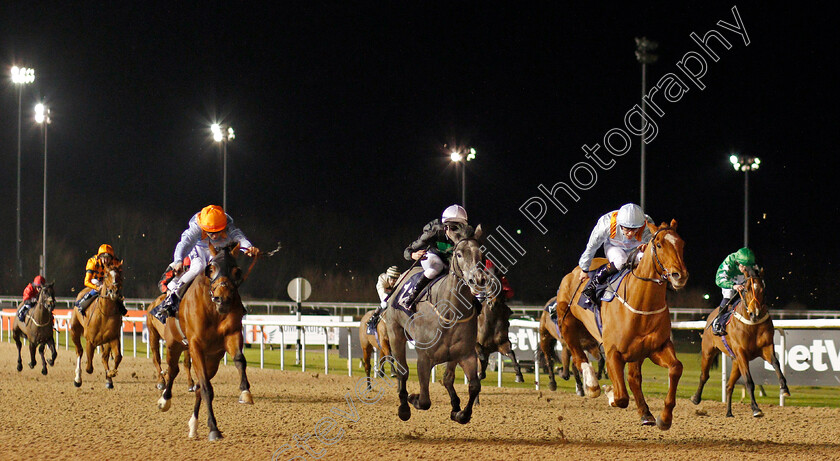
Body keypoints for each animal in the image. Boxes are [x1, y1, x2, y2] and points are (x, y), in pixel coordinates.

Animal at [155, 241, 253, 438]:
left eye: (236, 271)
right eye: (211, 269)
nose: (222, 298)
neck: (213, 310)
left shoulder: (231, 335)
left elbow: (239, 359)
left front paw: (245, 392)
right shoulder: (195, 346)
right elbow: (207, 388)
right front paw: (214, 429)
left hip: (212, 360)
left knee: (198, 385)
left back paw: (193, 425)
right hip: (173, 345)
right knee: (173, 370)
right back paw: (165, 400)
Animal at [382, 228, 486, 422]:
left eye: (481, 254)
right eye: (459, 254)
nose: (478, 279)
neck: (450, 312)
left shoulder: (466, 354)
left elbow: (473, 385)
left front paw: (461, 413)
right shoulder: (424, 358)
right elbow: (424, 400)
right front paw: (412, 398)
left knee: (448, 378)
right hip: (395, 332)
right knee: (403, 371)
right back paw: (404, 406)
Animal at [556, 219, 684, 428]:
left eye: (682, 244)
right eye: (659, 245)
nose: (679, 275)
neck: (640, 304)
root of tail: (574, 272)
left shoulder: (656, 347)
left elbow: (675, 368)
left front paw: (664, 418)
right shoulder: (613, 353)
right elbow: (622, 397)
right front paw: (609, 392)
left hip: (635, 352)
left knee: (633, 378)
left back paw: (645, 414)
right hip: (566, 321)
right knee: (577, 354)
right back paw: (592, 385)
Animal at [688, 264, 788, 416]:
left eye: (763, 289)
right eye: (746, 289)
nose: (755, 314)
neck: (752, 324)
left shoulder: (766, 347)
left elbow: (776, 363)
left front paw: (784, 388)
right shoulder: (741, 353)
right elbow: (749, 381)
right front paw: (755, 408)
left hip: (735, 361)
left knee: (729, 385)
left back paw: (729, 412)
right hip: (709, 351)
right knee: (704, 375)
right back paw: (696, 398)